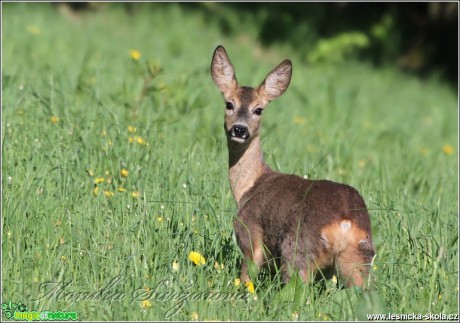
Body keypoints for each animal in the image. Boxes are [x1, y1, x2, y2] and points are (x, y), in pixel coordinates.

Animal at [210, 45, 376, 288]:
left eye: (259, 109)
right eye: (229, 104)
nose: (240, 129)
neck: (247, 186)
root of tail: (345, 222)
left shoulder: (250, 234)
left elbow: (247, 276)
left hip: (298, 249)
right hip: (358, 257)